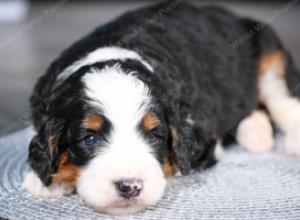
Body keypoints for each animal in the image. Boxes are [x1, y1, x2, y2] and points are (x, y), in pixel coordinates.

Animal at [22, 1, 300, 215]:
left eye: (154, 136)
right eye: (89, 139)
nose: (130, 186)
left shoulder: (200, 136)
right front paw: (43, 182)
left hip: (269, 53)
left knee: (282, 99)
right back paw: (256, 133)